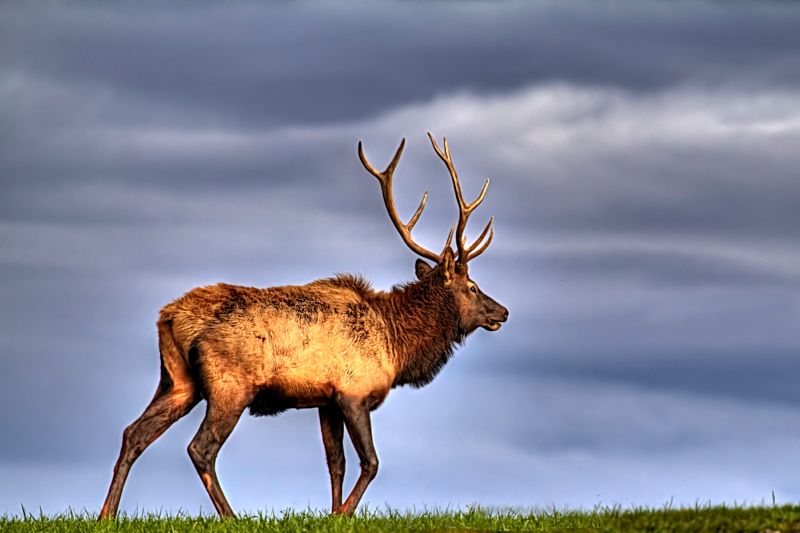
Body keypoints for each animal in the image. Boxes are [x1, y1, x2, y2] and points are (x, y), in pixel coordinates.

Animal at [98, 133, 506, 520]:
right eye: (472, 286)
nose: (502, 312)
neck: (396, 345)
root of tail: (169, 316)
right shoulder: (354, 392)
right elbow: (371, 462)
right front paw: (344, 513)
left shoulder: (327, 400)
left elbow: (335, 463)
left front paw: (333, 513)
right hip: (230, 386)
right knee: (200, 448)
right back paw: (231, 515)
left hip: (178, 382)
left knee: (133, 433)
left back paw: (107, 514)